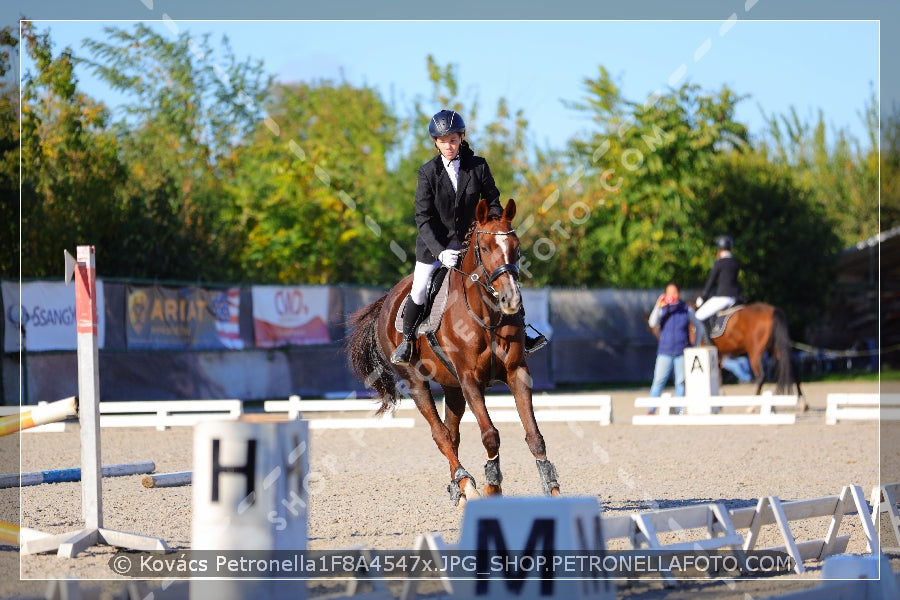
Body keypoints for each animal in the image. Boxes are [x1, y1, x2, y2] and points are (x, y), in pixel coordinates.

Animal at [342, 197, 556, 506]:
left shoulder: (517, 372)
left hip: (452, 387)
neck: (486, 313)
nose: (511, 300)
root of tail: (389, 298)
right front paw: (492, 487)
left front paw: (552, 487)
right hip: (416, 382)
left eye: (516, 247)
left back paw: (458, 486)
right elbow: (490, 434)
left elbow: (534, 434)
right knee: (440, 434)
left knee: (451, 434)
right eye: (485, 248)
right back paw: (467, 485)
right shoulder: (470, 380)